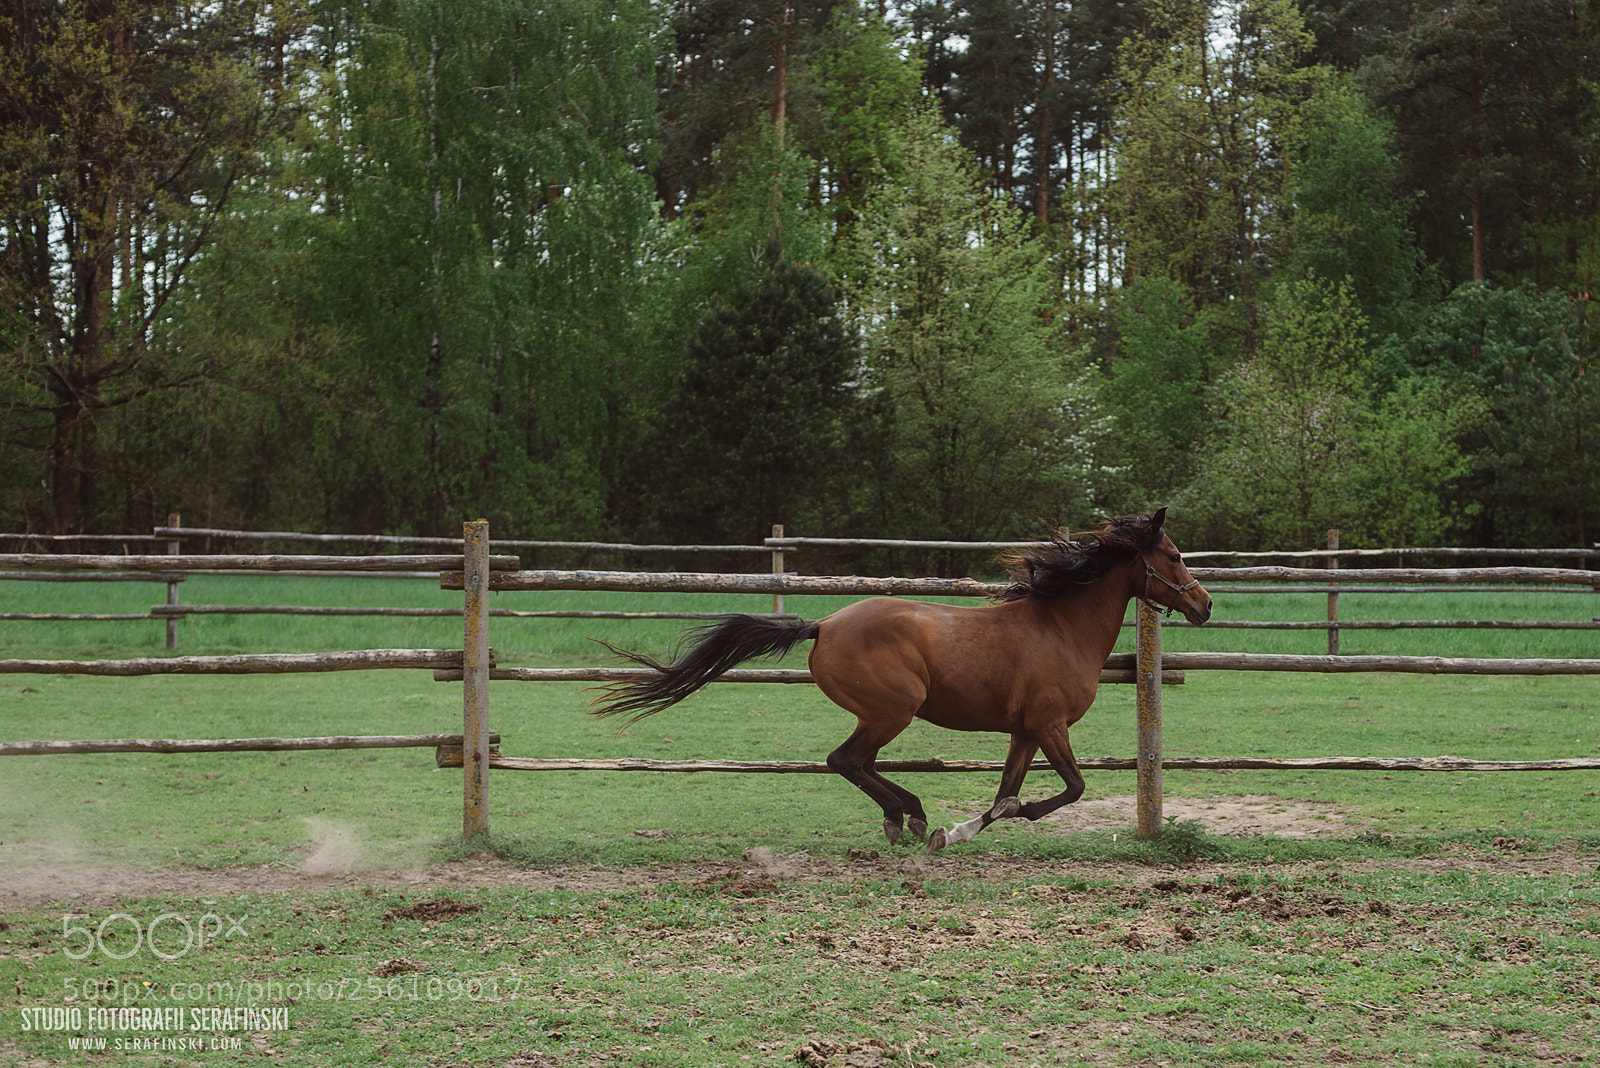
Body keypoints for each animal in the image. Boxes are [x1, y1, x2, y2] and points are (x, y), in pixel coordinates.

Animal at [590, 509, 1212, 853]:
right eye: (1174, 555)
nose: (1205, 604)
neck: (1061, 627)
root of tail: (823, 624)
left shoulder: (1024, 731)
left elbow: (1005, 796)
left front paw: (953, 834)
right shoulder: (1050, 725)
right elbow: (1067, 791)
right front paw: (959, 828)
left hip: (883, 713)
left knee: (857, 763)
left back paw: (909, 816)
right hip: (895, 708)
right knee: (844, 760)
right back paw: (906, 813)